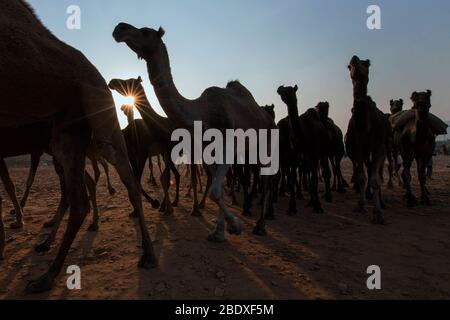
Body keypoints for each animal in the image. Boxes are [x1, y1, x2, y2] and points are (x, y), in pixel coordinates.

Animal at [112, 23, 276, 239]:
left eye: (146, 31)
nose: (120, 28)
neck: (202, 113)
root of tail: (268, 117)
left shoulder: (228, 146)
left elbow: (215, 190)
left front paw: (235, 225)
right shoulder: (209, 150)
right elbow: (216, 188)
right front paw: (219, 232)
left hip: (267, 144)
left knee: (266, 180)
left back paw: (261, 225)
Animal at [276, 85, 332, 215]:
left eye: (290, 90)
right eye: (283, 89)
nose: (279, 88)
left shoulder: (313, 154)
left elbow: (314, 178)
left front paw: (318, 207)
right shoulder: (296, 155)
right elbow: (293, 179)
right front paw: (291, 207)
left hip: (323, 153)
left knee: (324, 172)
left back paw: (326, 198)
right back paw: (310, 201)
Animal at [346, 55, 392, 225]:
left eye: (366, 64)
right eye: (349, 66)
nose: (354, 58)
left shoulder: (379, 146)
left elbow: (375, 180)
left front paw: (378, 214)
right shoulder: (359, 148)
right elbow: (361, 178)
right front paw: (360, 205)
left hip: (385, 147)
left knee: (378, 173)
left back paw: (382, 202)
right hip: (366, 152)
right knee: (370, 168)